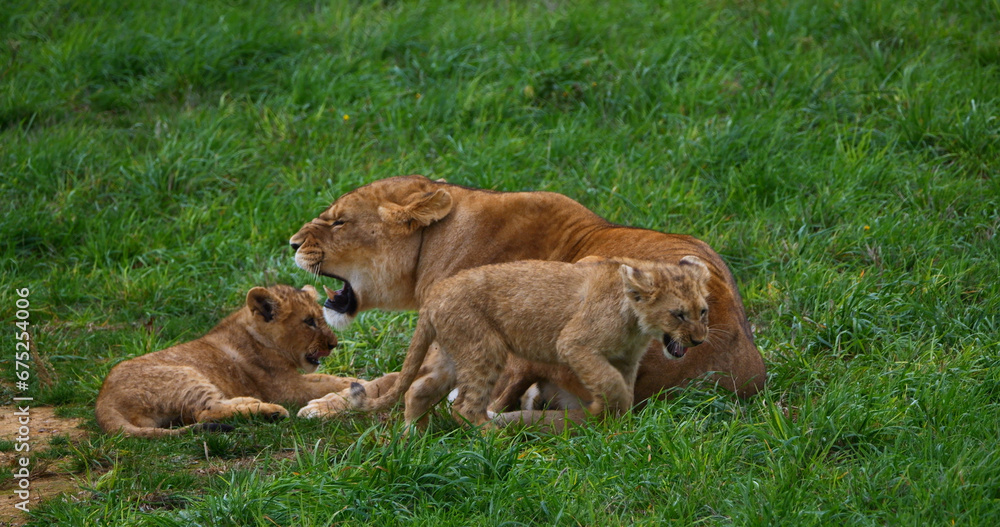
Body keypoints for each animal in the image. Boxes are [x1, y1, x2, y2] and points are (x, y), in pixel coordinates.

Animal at [95, 284, 363, 438]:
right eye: (309, 322)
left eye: (322, 319)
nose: (334, 344)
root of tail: (103, 402)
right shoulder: (285, 388)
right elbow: (325, 383)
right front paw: (357, 384)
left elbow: (326, 377)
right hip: (186, 376)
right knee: (206, 412)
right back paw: (268, 410)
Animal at [346, 256, 711, 429]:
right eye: (678, 315)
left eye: (703, 312)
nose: (698, 340)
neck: (637, 323)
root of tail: (434, 296)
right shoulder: (574, 344)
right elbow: (610, 383)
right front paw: (604, 413)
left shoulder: (626, 359)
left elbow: (623, 385)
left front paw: (620, 423)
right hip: (485, 348)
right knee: (464, 407)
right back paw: (495, 439)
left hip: (453, 352)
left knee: (418, 390)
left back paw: (412, 441)